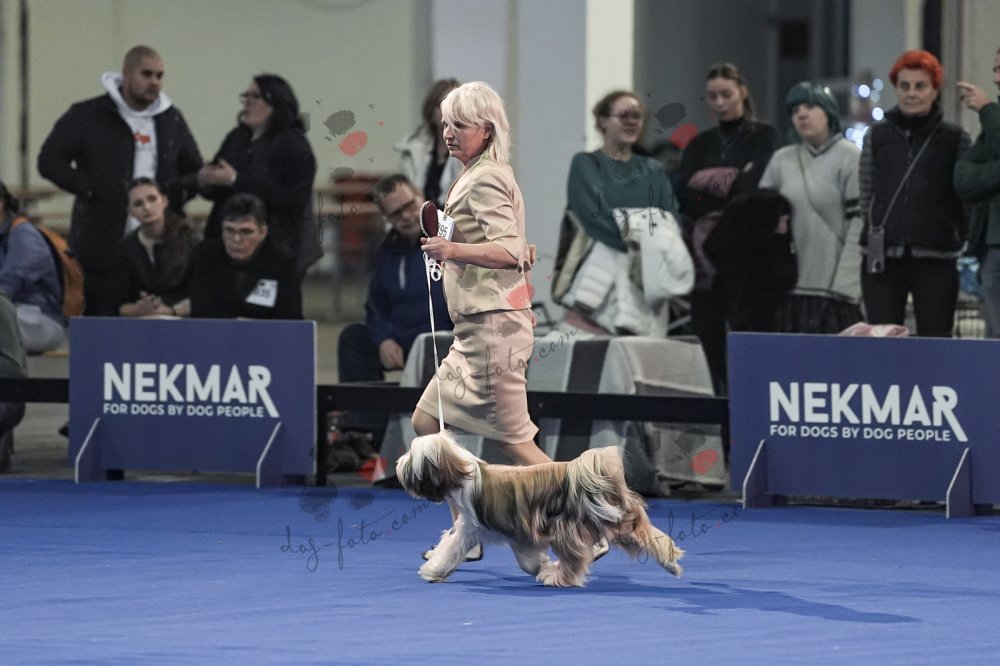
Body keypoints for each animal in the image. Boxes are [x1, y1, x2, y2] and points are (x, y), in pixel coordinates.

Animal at [395, 432, 684, 587]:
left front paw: (432, 570)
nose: (398, 462)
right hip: (620, 519)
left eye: (411, 455)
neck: (464, 474)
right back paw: (671, 563)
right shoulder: (504, 532)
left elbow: (452, 548)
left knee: (574, 559)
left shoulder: (485, 527)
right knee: (650, 535)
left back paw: (557, 577)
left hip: (567, 527)